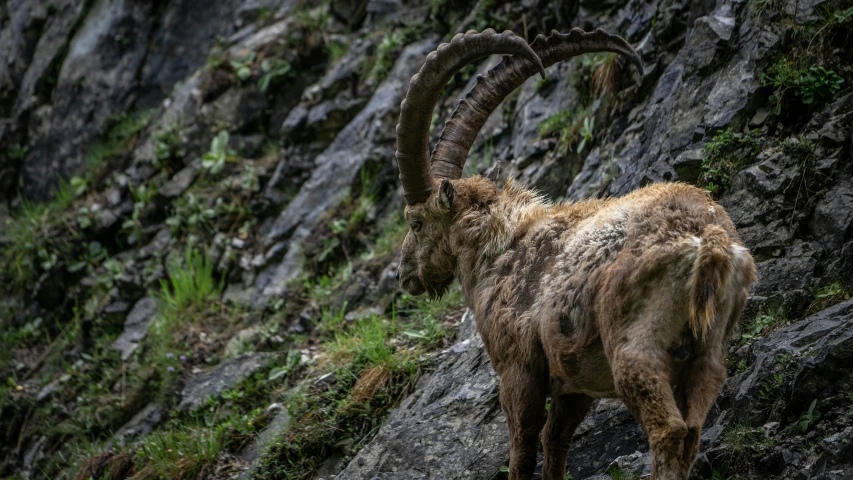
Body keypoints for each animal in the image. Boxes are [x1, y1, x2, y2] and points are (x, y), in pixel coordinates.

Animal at [396, 30, 756, 480]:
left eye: (416, 222)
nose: (404, 275)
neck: (500, 249)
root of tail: (709, 238)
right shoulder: (574, 385)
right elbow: (556, 441)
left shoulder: (518, 373)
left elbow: (523, 448)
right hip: (709, 352)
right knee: (691, 430)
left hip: (634, 346)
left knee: (669, 431)